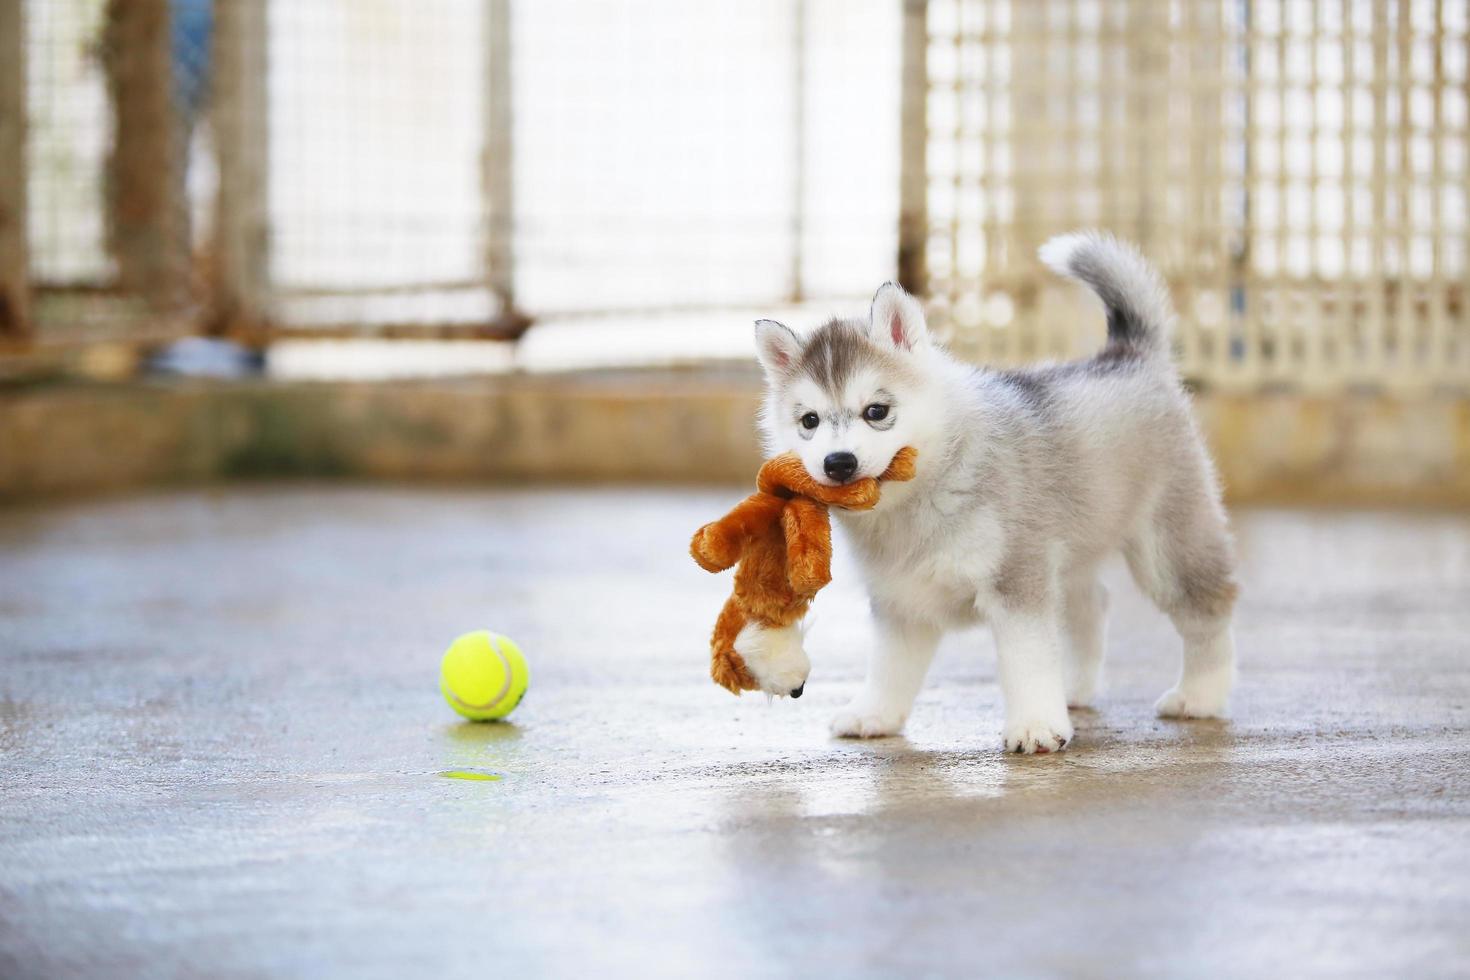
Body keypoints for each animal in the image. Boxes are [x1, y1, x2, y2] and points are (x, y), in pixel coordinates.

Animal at [752, 233, 1234, 758]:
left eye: (876, 411)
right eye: (809, 421)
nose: (838, 463)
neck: (923, 492)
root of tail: (1127, 355)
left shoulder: (1016, 581)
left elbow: (1028, 660)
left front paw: (1035, 726)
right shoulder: (902, 598)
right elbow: (890, 665)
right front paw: (874, 714)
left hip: (1168, 546)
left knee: (1207, 611)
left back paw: (1200, 694)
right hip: (1066, 551)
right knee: (1090, 607)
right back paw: (1074, 688)